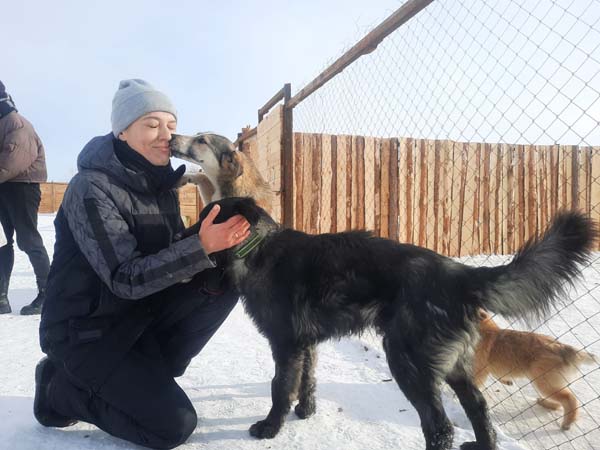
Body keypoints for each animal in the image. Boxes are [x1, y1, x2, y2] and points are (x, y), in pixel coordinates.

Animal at [183, 197, 596, 450]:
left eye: (206, 217)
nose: (185, 236)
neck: (258, 248)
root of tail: (460, 274)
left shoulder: (285, 344)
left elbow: (280, 388)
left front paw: (271, 427)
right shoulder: (306, 343)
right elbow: (307, 380)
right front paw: (306, 411)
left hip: (407, 360)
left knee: (439, 426)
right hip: (453, 365)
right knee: (478, 407)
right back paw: (482, 443)